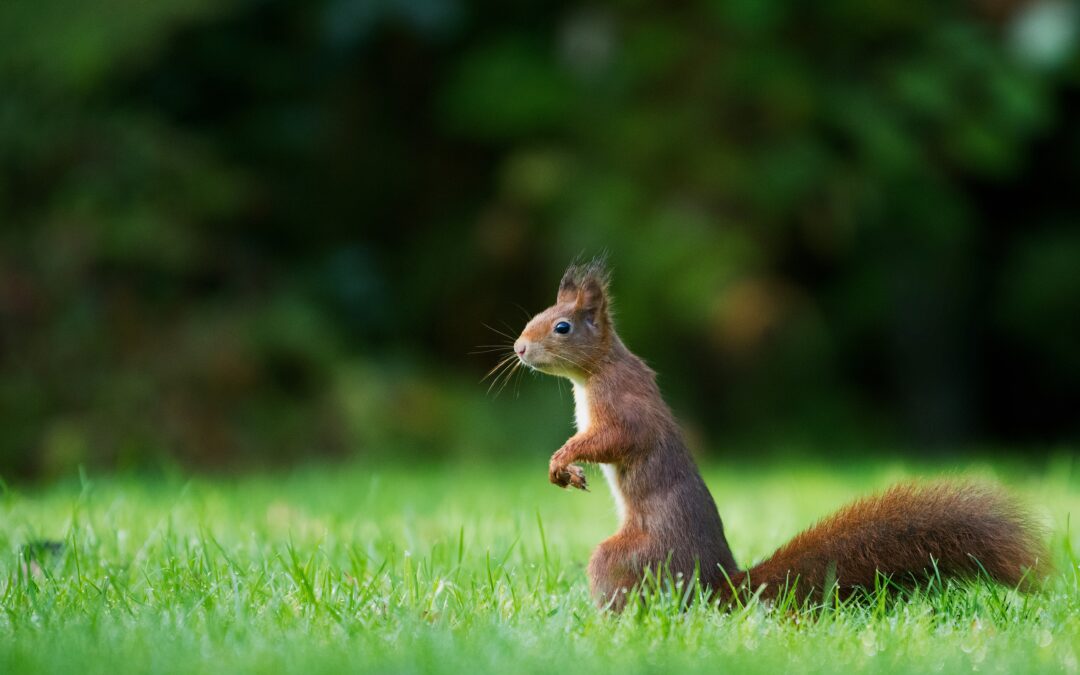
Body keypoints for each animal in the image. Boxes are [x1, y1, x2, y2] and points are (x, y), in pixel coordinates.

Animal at [511, 257, 1045, 611]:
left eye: (561, 327)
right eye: (533, 318)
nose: (518, 348)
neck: (595, 372)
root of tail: (721, 586)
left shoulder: (624, 406)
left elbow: (617, 439)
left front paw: (563, 460)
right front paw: (567, 469)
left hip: (631, 558)